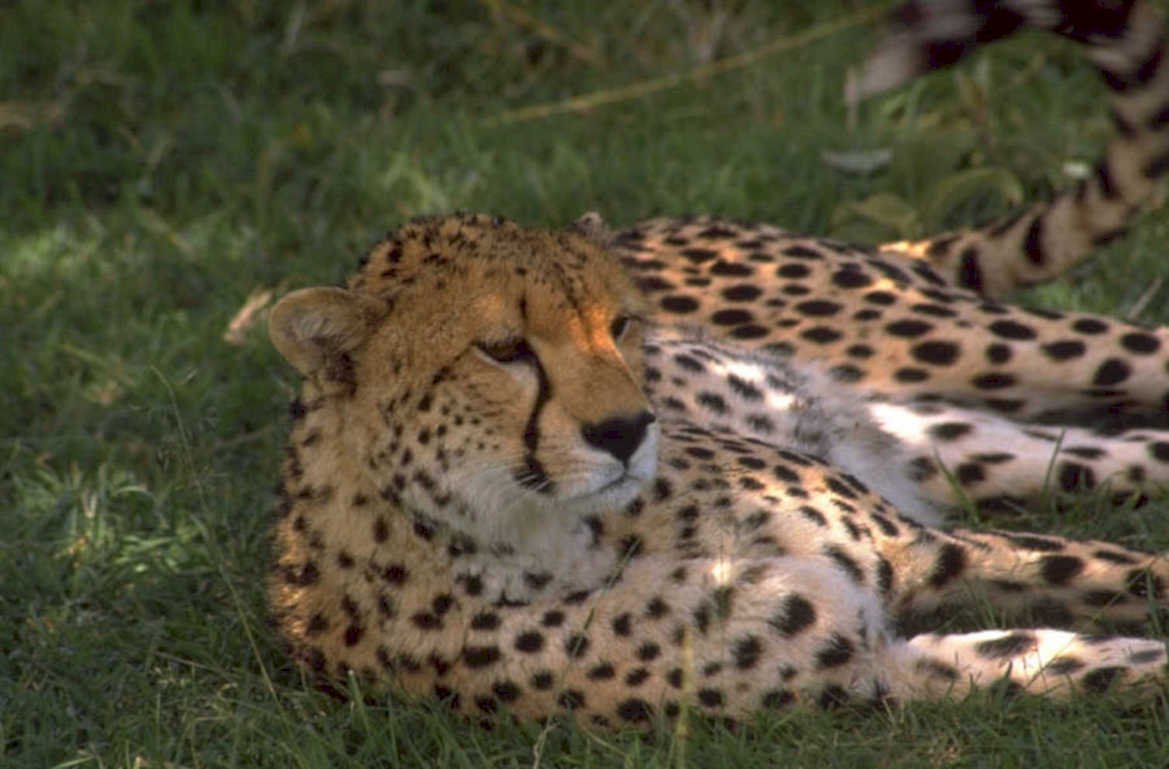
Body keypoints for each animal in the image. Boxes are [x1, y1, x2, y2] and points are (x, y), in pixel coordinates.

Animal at [266, 0, 1169, 728]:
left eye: (620, 324)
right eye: (502, 348)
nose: (627, 429)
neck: (561, 535)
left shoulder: (920, 548)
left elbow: (1134, 570)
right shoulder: (884, 665)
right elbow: (1100, 660)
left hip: (964, 339)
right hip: (953, 438)